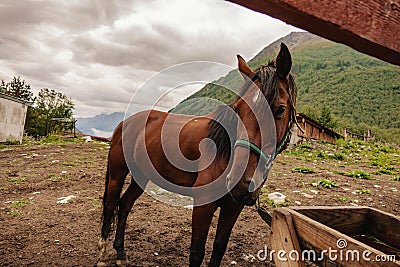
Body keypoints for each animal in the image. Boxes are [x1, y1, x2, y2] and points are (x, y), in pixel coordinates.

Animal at [97, 43, 296, 266]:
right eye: (237, 109)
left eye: (280, 110)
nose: (239, 182)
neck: (225, 152)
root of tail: (126, 121)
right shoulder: (203, 205)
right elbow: (196, 253)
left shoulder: (233, 208)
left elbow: (218, 249)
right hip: (117, 173)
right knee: (110, 205)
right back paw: (103, 253)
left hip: (141, 176)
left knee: (124, 205)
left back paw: (121, 253)